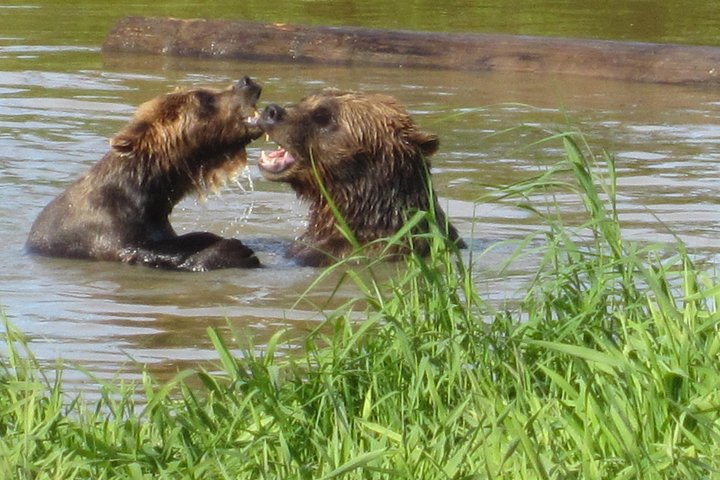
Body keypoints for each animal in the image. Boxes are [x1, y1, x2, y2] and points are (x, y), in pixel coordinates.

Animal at [26, 76, 264, 271]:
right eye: (203, 97)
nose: (246, 82)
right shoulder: (104, 229)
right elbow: (140, 252)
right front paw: (235, 251)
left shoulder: (156, 224)